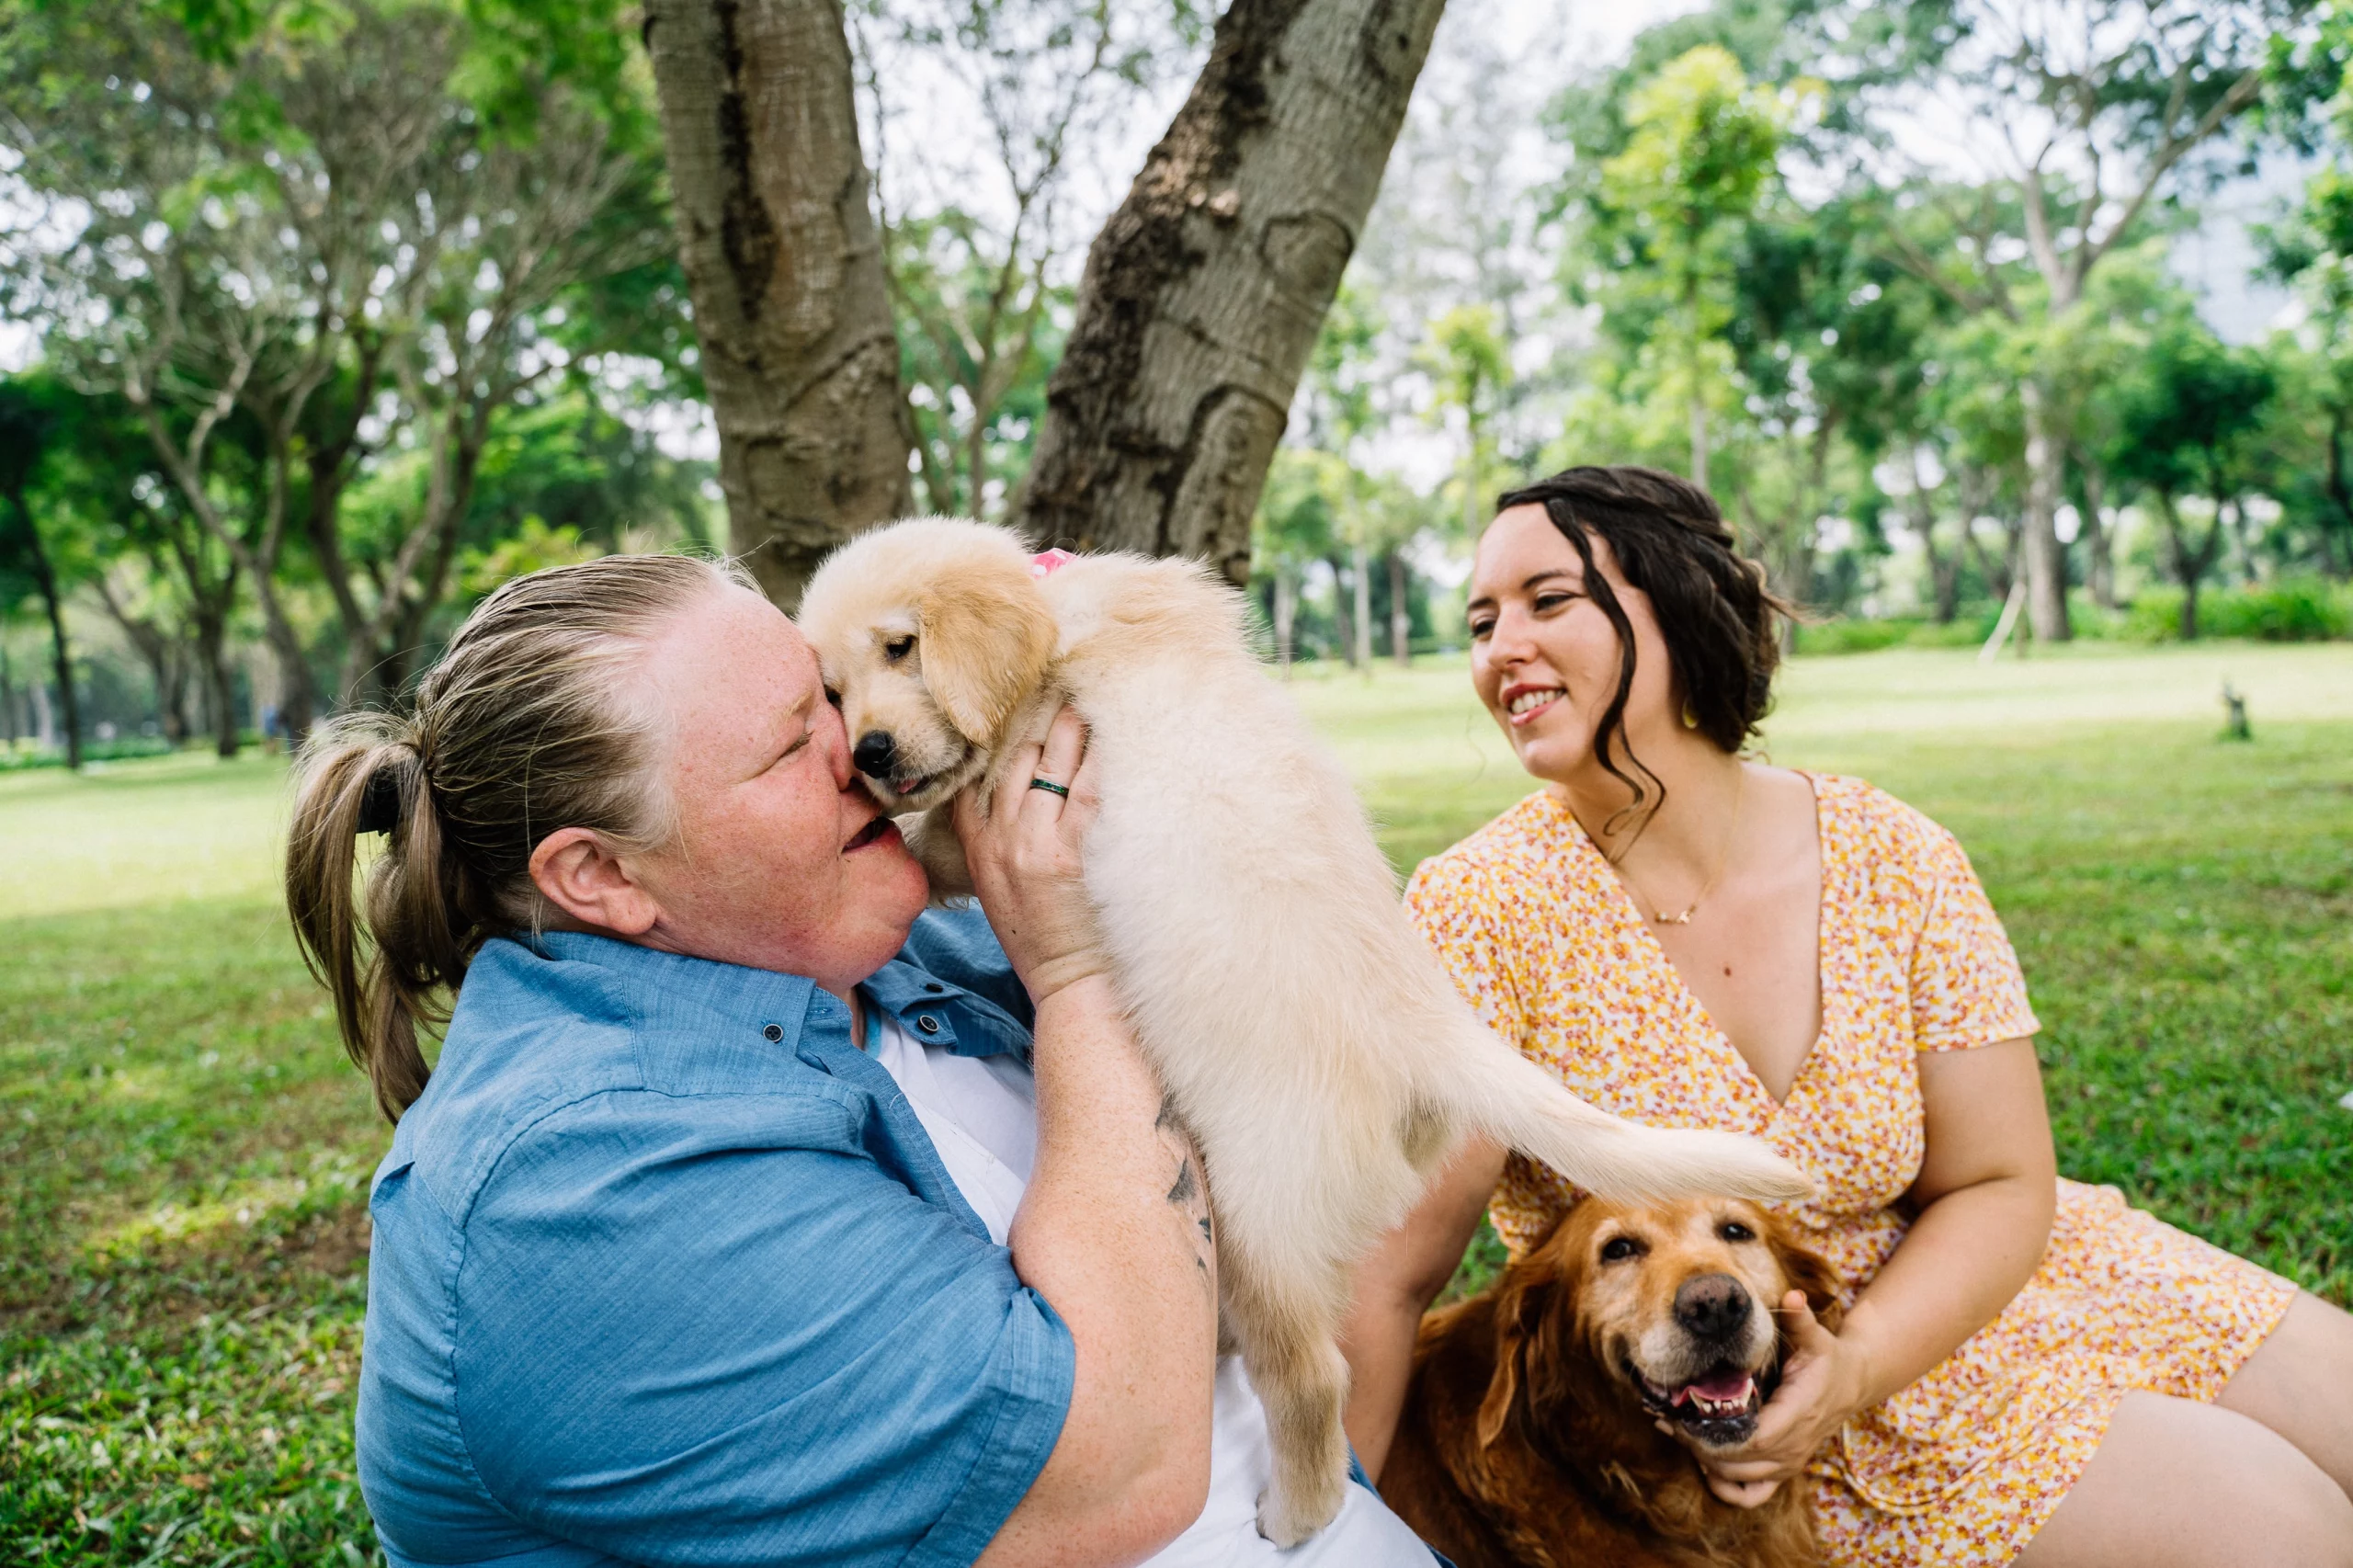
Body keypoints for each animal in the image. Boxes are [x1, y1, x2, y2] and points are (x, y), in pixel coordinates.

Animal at [800, 522, 1807, 1535]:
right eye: (831, 694)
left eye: (902, 647)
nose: (869, 755)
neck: (1056, 623)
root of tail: (1426, 1031)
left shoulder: (1004, 780)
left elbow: (933, 842)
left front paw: (897, 843)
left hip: (1258, 1219)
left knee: (1314, 1377)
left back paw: (1295, 1515)